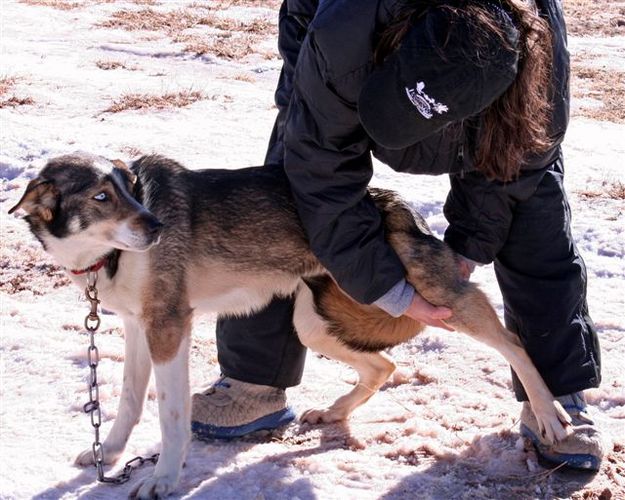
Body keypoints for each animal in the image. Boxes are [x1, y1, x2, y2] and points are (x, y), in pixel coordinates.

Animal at [9, 154, 572, 498]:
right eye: (102, 197)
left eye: (130, 192)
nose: (158, 226)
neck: (108, 258)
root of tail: (395, 202)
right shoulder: (137, 330)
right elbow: (127, 404)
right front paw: (108, 454)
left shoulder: (170, 328)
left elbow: (170, 417)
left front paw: (163, 479)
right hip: (313, 323)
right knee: (383, 367)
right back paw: (334, 412)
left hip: (438, 303)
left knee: (514, 340)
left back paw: (551, 414)